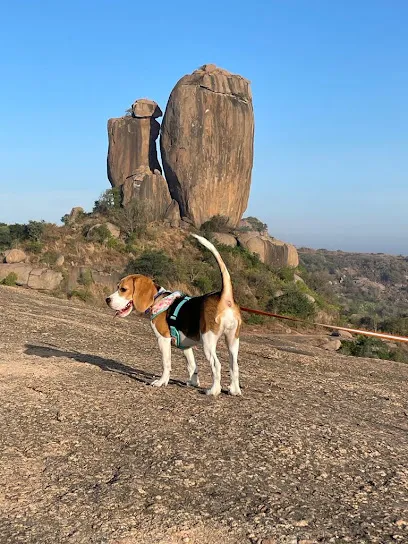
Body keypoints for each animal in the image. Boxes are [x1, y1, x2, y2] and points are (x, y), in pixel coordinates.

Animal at [106, 234, 242, 396]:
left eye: (123, 289)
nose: (107, 299)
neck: (157, 299)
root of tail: (224, 296)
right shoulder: (185, 346)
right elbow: (192, 365)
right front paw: (193, 382)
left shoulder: (163, 339)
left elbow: (166, 363)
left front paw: (161, 382)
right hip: (233, 341)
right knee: (234, 366)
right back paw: (234, 390)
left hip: (208, 342)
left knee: (217, 365)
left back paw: (213, 390)